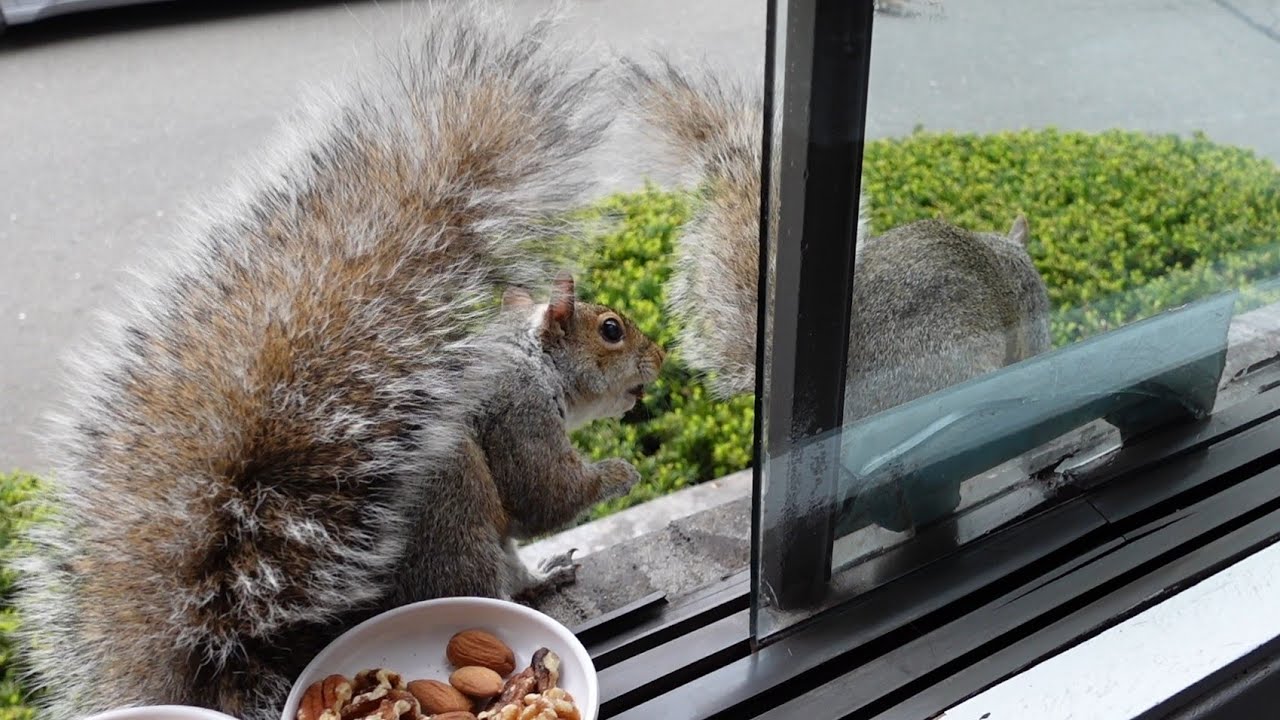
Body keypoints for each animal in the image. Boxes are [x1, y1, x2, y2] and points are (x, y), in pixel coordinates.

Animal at [12, 5, 662, 720]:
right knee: (494, 578)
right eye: (611, 330)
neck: (534, 358)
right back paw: (539, 581)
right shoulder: (517, 407)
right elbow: (544, 492)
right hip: (459, 512)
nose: (659, 358)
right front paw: (620, 471)